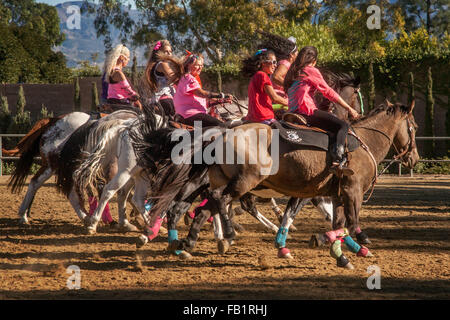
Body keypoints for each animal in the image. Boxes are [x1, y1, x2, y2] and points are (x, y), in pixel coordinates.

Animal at [135, 100, 420, 268]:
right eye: (414, 127)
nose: (414, 159)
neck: (362, 143)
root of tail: (221, 134)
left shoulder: (328, 193)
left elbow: (330, 222)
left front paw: (340, 253)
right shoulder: (352, 191)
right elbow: (350, 224)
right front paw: (349, 243)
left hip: (215, 182)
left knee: (198, 207)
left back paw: (185, 242)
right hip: (243, 181)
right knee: (216, 201)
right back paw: (223, 235)